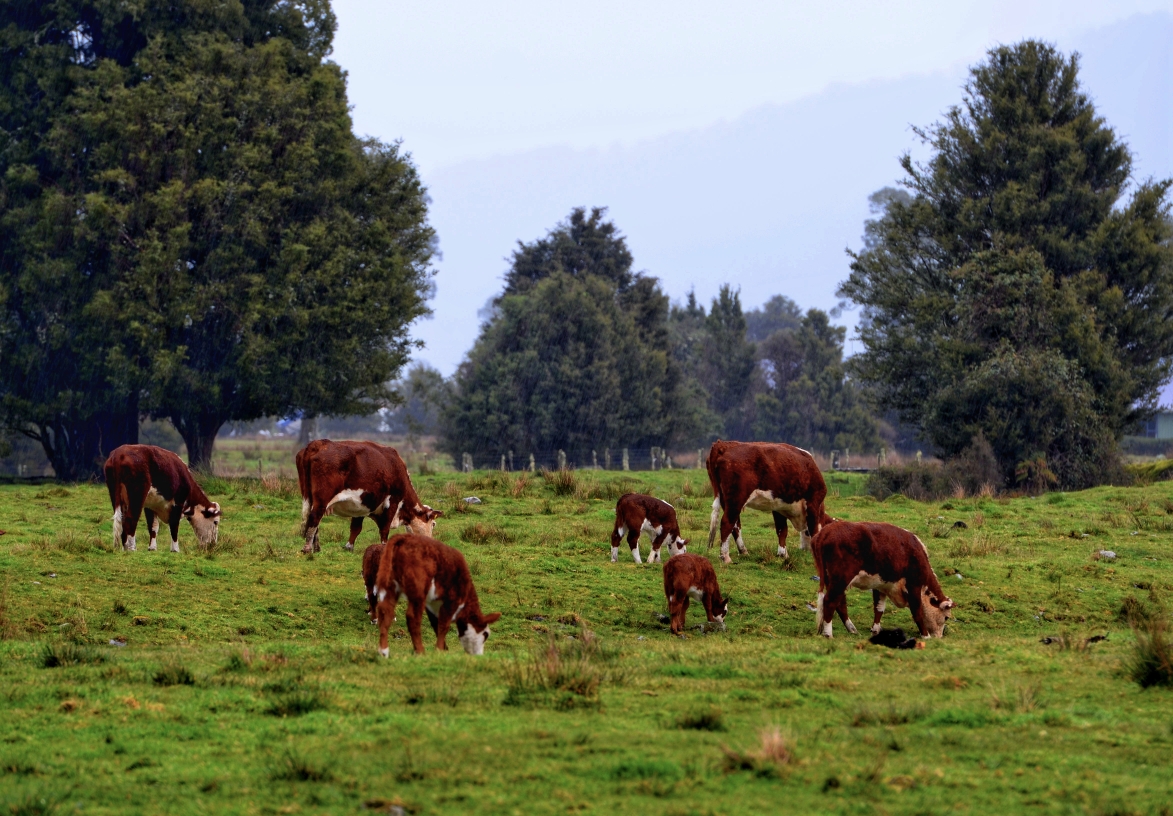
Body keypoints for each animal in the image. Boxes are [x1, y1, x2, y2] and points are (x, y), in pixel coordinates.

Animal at [293, 440, 441, 555]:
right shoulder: (392, 501)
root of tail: (318, 443)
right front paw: (384, 547)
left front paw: (349, 547)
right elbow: (384, 529)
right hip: (322, 498)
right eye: (433, 524)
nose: (432, 544)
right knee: (314, 517)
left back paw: (316, 547)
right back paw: (307, 549)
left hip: (310, 496)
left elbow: (356, 528)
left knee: (313, 519)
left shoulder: (361, 506)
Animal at [373, 534, 502, 656]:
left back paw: (383, 651)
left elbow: (435, 624)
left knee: (386, 612)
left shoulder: (431, 603)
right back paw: (420, 651)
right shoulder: (451, 600)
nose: (479, 655)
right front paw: (439, 650)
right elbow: (444, 626)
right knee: (412, 617)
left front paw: (444, 649)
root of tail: (403, 537)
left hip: (390, 585)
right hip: (418, 591)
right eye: (485, 634)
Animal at [811, 522, 957, 637]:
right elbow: (917, 612)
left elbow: (879, 608)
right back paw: (828, 634)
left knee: (840, 603)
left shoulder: (881, 585)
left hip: (832, 580)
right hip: (840, 580)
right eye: (946, 617)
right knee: (830, 601)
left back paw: (852, 629)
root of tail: (825, 531)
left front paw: (875, 630)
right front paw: (926, 636)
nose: (939, 637)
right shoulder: (913, 585)